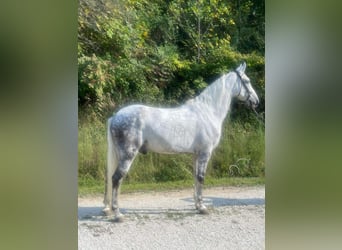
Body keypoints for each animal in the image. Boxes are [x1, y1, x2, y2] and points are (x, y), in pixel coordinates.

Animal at [103, 62, 260, 221]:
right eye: (247, 81)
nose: (256, 101)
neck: (208, 112)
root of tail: (115, 117)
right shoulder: (205, 153)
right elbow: (201, 178)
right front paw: (202, 208)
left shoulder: (196, 154)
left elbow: (196, 177)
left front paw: (197, 206)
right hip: (128, 155)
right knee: (116, 179)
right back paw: (117, 214)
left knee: (111, 179)